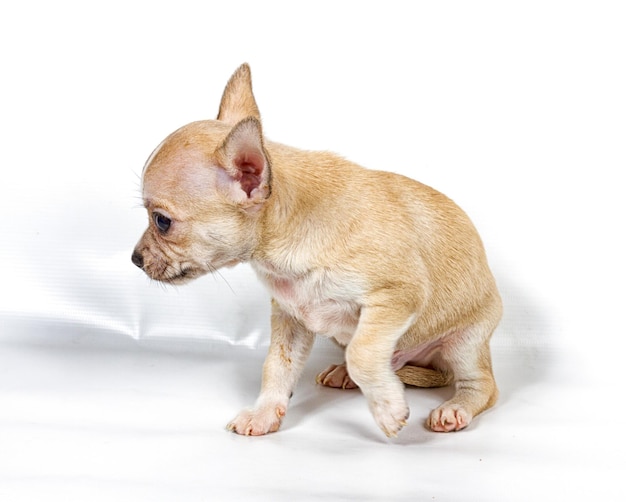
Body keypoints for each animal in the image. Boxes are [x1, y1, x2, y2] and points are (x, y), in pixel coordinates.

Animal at [133, 63, 502, 440]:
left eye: (162, 221)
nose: (135, 259)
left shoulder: (399, 294)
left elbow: (363, 353)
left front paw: (387, 409)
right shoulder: (290, 318)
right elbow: (277, 367)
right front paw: (264, 413)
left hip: (466, 344)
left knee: (482, 386)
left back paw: (454, 409)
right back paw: (346, 373)